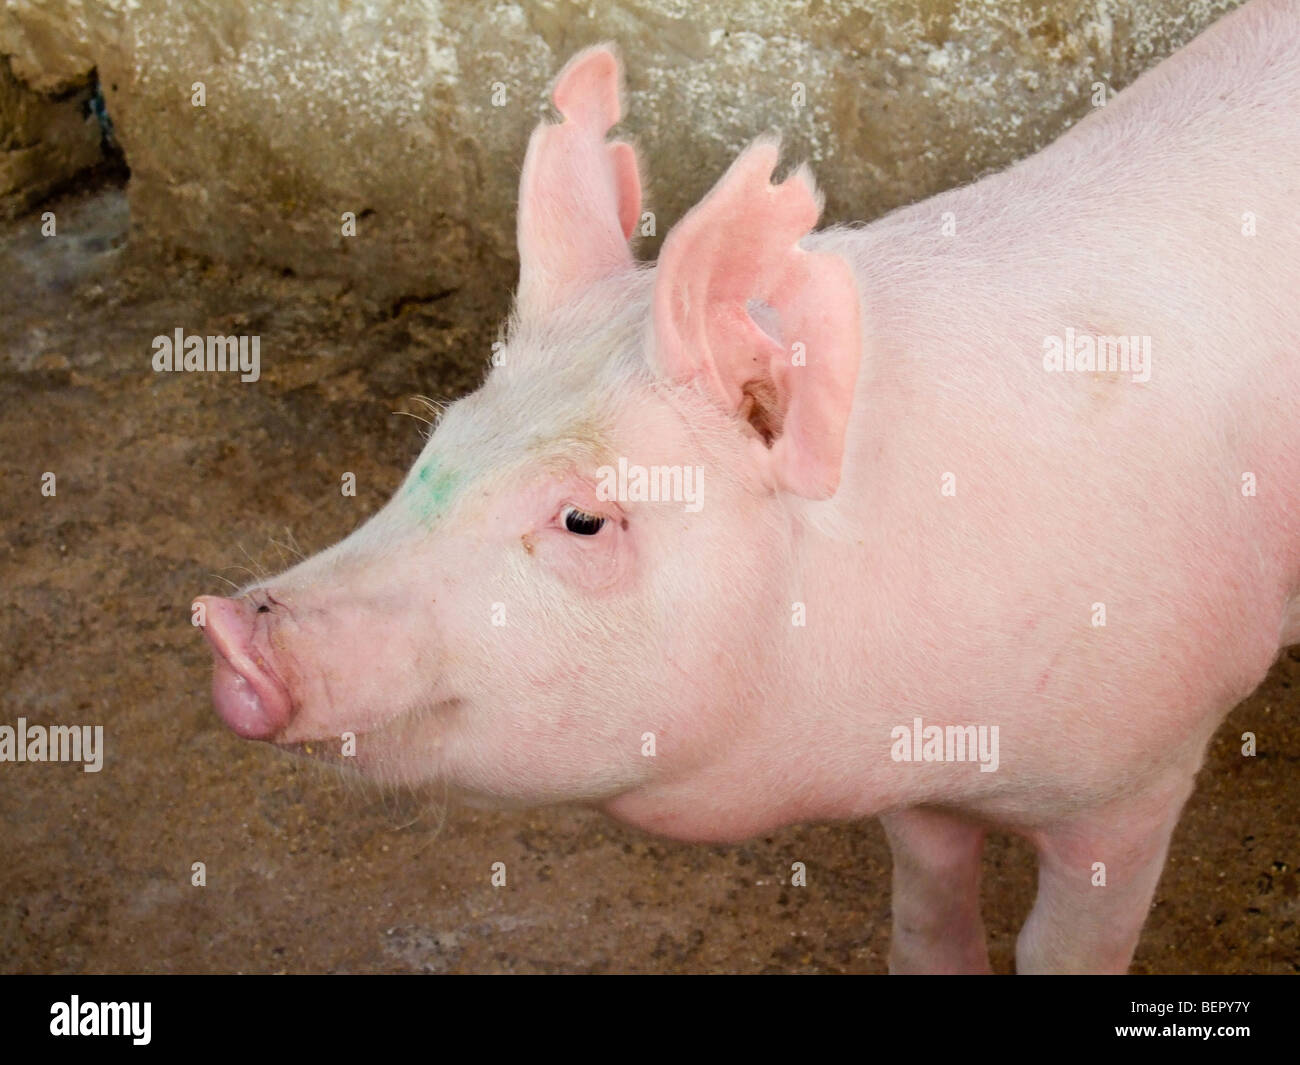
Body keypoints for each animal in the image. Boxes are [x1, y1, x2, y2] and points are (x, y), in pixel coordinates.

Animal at [192, 0, 1300, 977]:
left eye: (583, 519)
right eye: (437, 445)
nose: (231, 626)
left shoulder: (1140, 775)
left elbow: (1067, 946)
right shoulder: (913, 776)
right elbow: (928, 899)